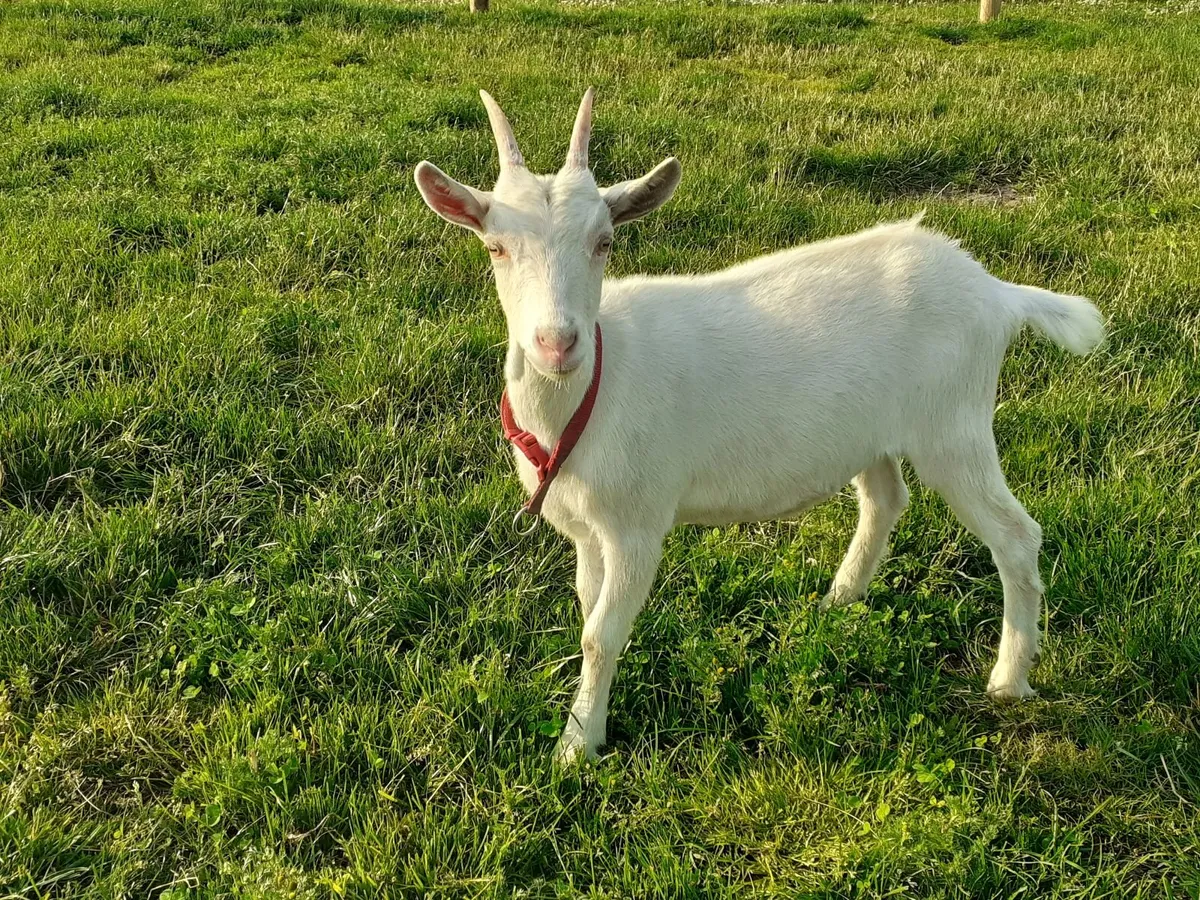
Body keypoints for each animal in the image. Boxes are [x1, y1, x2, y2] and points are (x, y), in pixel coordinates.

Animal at [415, 89, 1105, 762]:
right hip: (873, 428)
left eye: (605, 240)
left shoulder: (638, 523)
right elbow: (588, 614)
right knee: (885, 499)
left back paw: (1009, 680)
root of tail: (996, 292)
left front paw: (577, 745)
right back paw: (838, 601)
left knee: (1015, 535)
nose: (557, 344)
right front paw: (584, 725)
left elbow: (601, 635)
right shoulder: (587, 530)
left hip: (953, 424)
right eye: (495, 246)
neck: (591, 393)